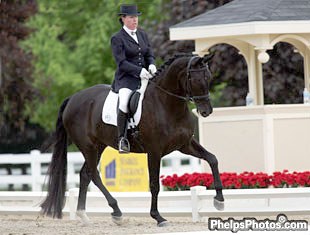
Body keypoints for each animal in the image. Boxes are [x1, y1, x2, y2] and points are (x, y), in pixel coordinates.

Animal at [41, 53, 225, 226]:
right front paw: (158, 217)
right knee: (93, 174)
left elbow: (213, 159)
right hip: (88, 146)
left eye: (209, 77)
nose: (207, 111)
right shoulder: (154, 151)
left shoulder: (185, 145)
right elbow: (154, 184)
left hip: (98, 146)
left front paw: (219, 200)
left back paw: (85, 215)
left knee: (85, 174)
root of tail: (72, 98)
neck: (167, 104)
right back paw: (116, 211)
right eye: (195, 79)